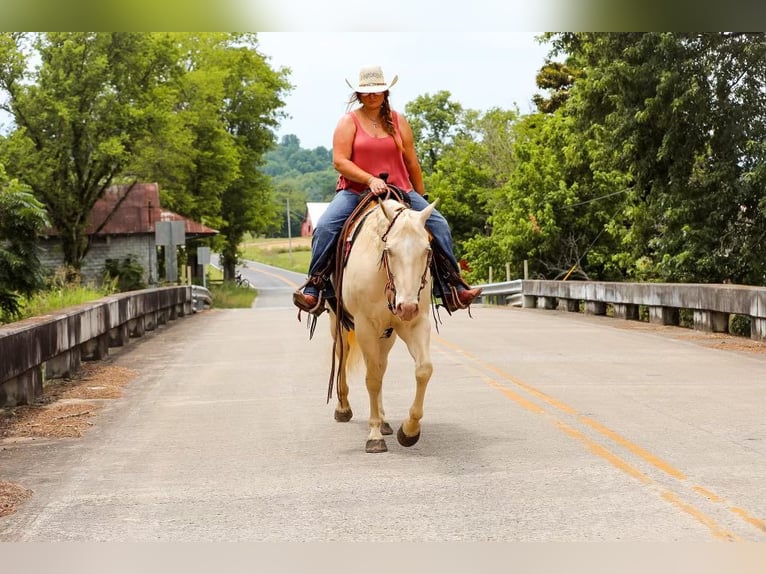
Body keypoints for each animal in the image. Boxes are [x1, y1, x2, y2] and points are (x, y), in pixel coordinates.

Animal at [330, 198, 438, 454]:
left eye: (427, 251)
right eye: (389, 250)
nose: (406, 307)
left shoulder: (416, 322)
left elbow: (423, 370)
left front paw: (409, 430)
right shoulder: (365, 326)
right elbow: (372, 379)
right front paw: (374, 435)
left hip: (386, 336)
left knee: (381, 364)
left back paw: (385, 419)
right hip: (337, 323)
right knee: (343, 356)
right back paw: (343, 408)